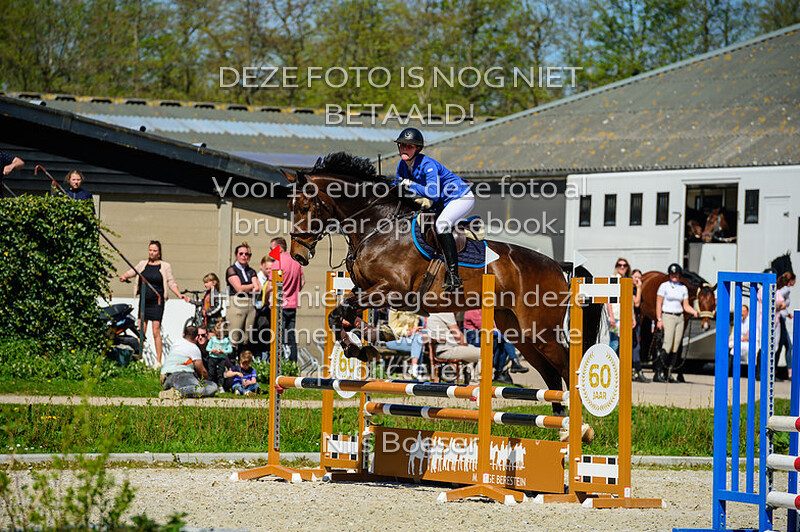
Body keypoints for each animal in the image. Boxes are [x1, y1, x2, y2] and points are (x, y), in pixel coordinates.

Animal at [282, 152, 603, 420]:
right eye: (290, 206)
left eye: (306, 206)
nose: (297, 254)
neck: (378, 227)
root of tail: (558, 266)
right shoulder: (367, 290)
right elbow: (339, 314)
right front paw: (363, 344)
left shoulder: (394, 290)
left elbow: (343, 312)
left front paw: (363, 345)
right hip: (518, 330)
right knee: (549, 372)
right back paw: (560, 422)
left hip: (541, 329)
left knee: (566, 365)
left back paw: (578, 424)